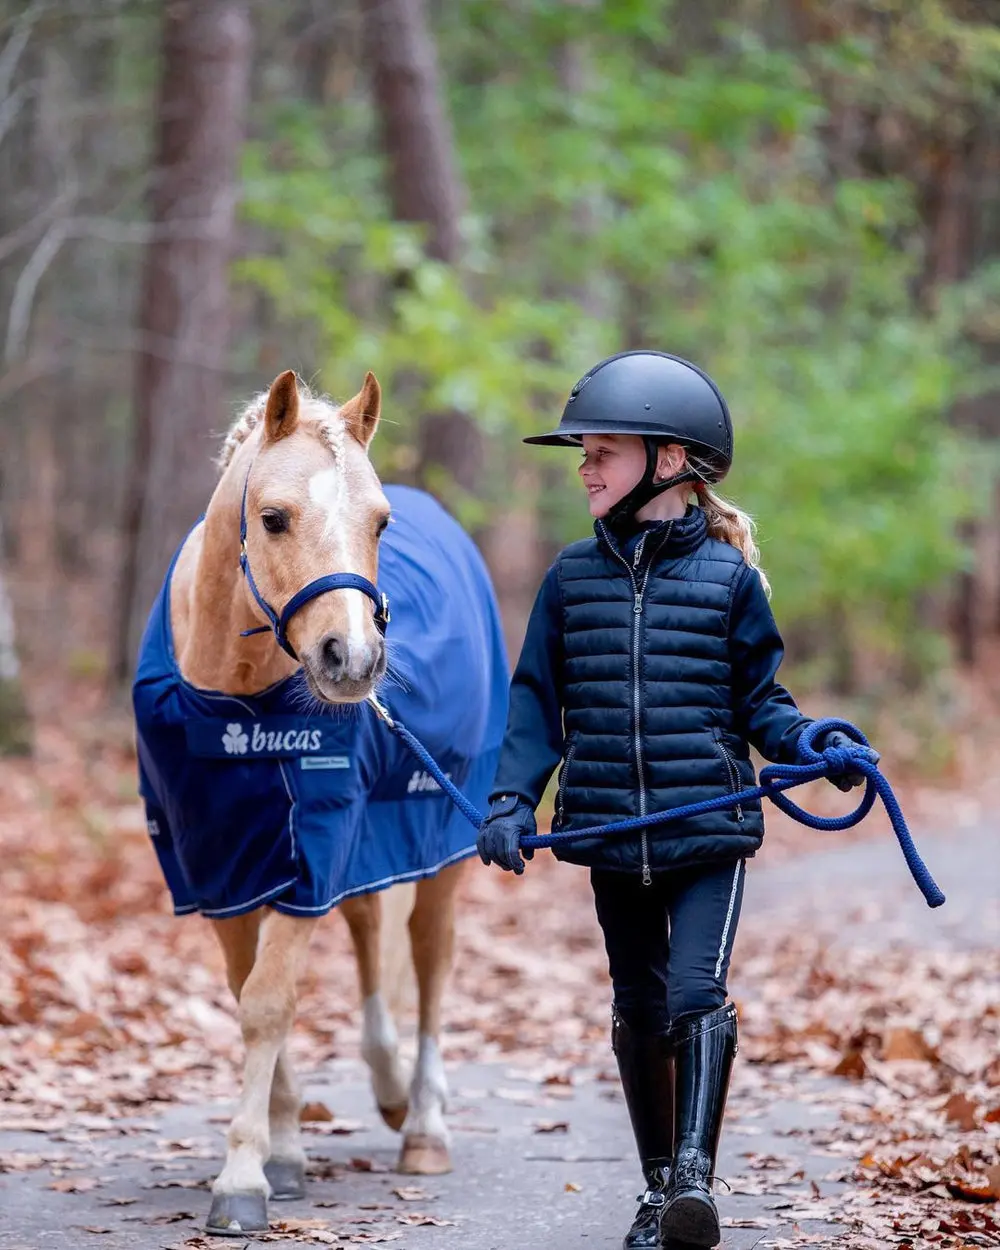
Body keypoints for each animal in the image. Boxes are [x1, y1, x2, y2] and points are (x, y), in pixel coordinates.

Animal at [132, 370, 508, 1236]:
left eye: (380, 522)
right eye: (273, 517)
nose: (354, 660)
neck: (233, 706)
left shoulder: (312, 850)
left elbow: (268, 1002)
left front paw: (242, 1177)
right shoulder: (219, 864)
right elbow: (247, 991)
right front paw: (284, 1149)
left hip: (441, 842)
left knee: (431, 966)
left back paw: (423, 1124)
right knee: (372, 939)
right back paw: (390, 1089)